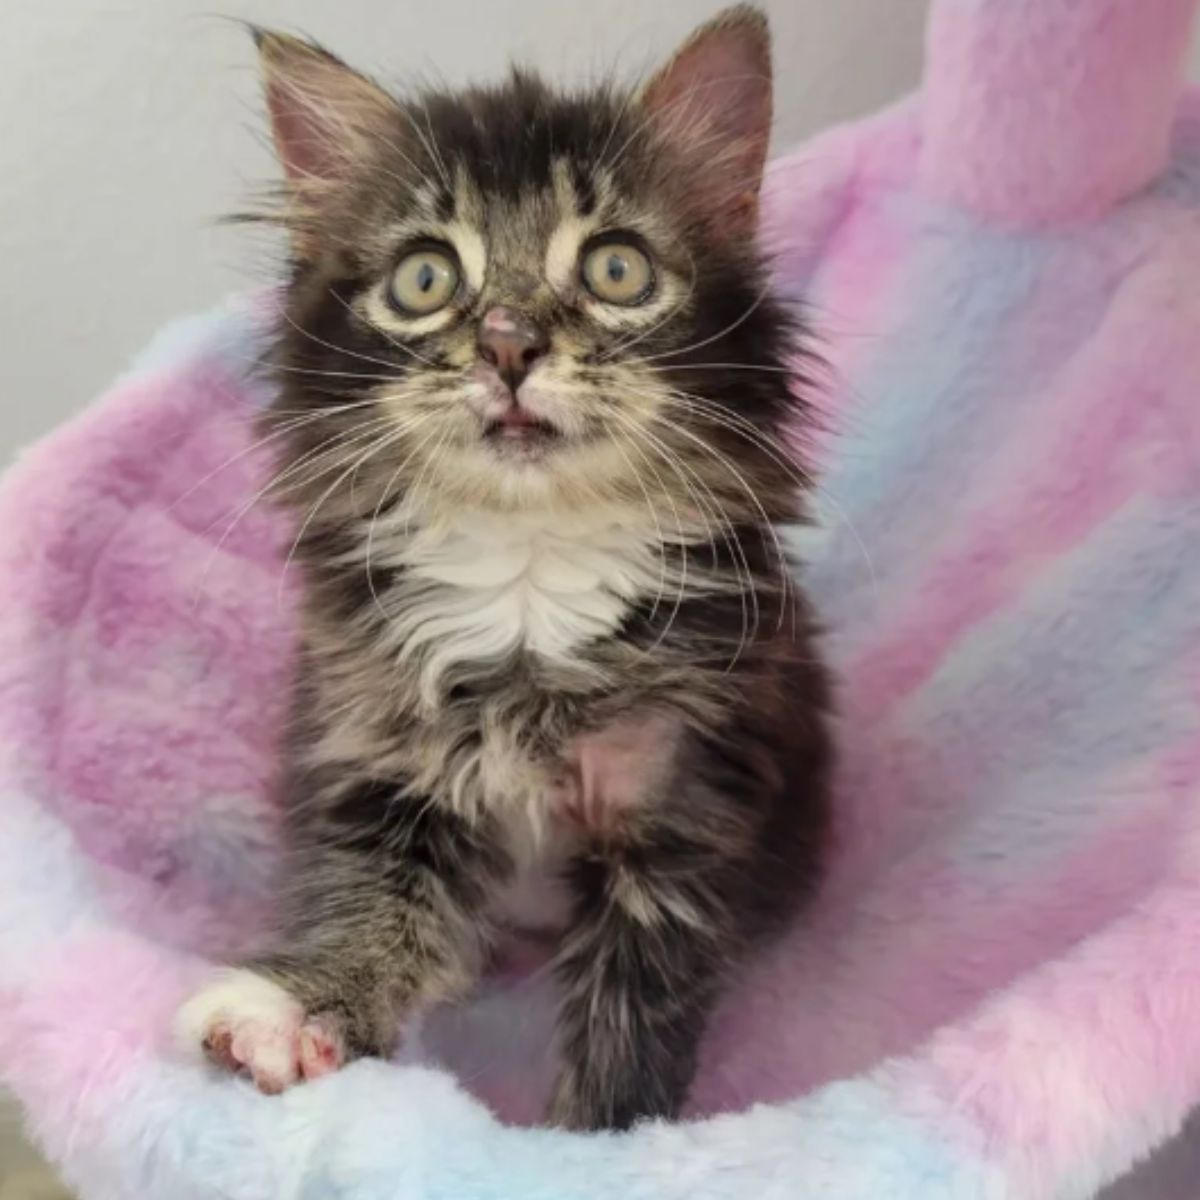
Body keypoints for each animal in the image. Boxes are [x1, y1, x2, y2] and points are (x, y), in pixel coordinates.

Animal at [177, 4, 830, 1128]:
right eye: (425, 279)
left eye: (616, 270)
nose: (510, 344)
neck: (528, 577)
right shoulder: (382, 765)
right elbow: (375, 907)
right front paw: (299, 1008)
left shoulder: (678, 808)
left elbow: (633, 1017)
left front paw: (603, 1140)